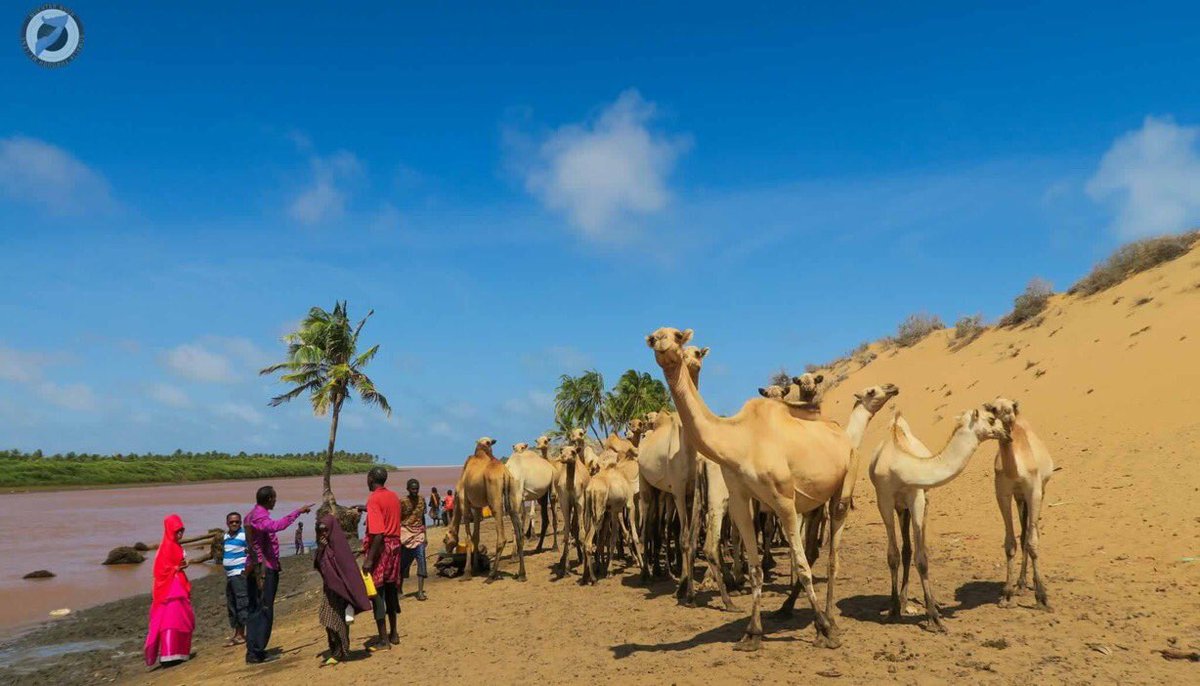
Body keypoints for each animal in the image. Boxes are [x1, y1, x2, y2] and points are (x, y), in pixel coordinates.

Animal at [446, 436, 525, 580]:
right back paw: (522, 573)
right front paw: (476, 568)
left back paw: (492, 575)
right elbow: (476, 537)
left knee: (501, 536)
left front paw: (467, 572)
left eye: (445, 539)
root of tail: (505, 473)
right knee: (519, 531)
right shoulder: (477, 508)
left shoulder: (464, 503)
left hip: (495, 499)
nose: (447, 550)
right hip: (513, 494)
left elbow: (468, 538)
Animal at [648, 328, 854, 652]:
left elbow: (801, 564)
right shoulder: (740, 499)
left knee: (832, 555)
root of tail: (843, 436)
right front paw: (752, 633)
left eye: (678, 336)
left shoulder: (783, 499)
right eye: (652, 337)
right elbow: (756, 568)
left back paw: (831, 620)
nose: (661, 342)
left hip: (843, 488)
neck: (739, 440)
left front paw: (823, 630)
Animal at [868, 407, 1008, 633]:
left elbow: (922, 558)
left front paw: (934, 618)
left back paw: (911, 603)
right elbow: (892, 556)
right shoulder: (884, 499)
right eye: (991, 418)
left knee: (911, 549)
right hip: (900, 507)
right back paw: (901, 604)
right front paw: (892, 610)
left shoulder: (916, 496)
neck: (901, 467)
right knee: (905, 549)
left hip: (918, 502)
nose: (1007, 432)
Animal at [988, 395, 1056, 611]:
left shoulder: (1033, 491)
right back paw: (1021, 583)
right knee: (1024, 532)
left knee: (1032, 532)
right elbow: (1010, 543)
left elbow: (1033, 542)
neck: (1015, 470)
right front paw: (1007, 594)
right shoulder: (1003, 493)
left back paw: (1032, 584)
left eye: (1011, 406)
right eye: (994, 408)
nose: (1009, 415)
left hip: (1041, 491)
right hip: (1019, 498)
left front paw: (1042, 597)